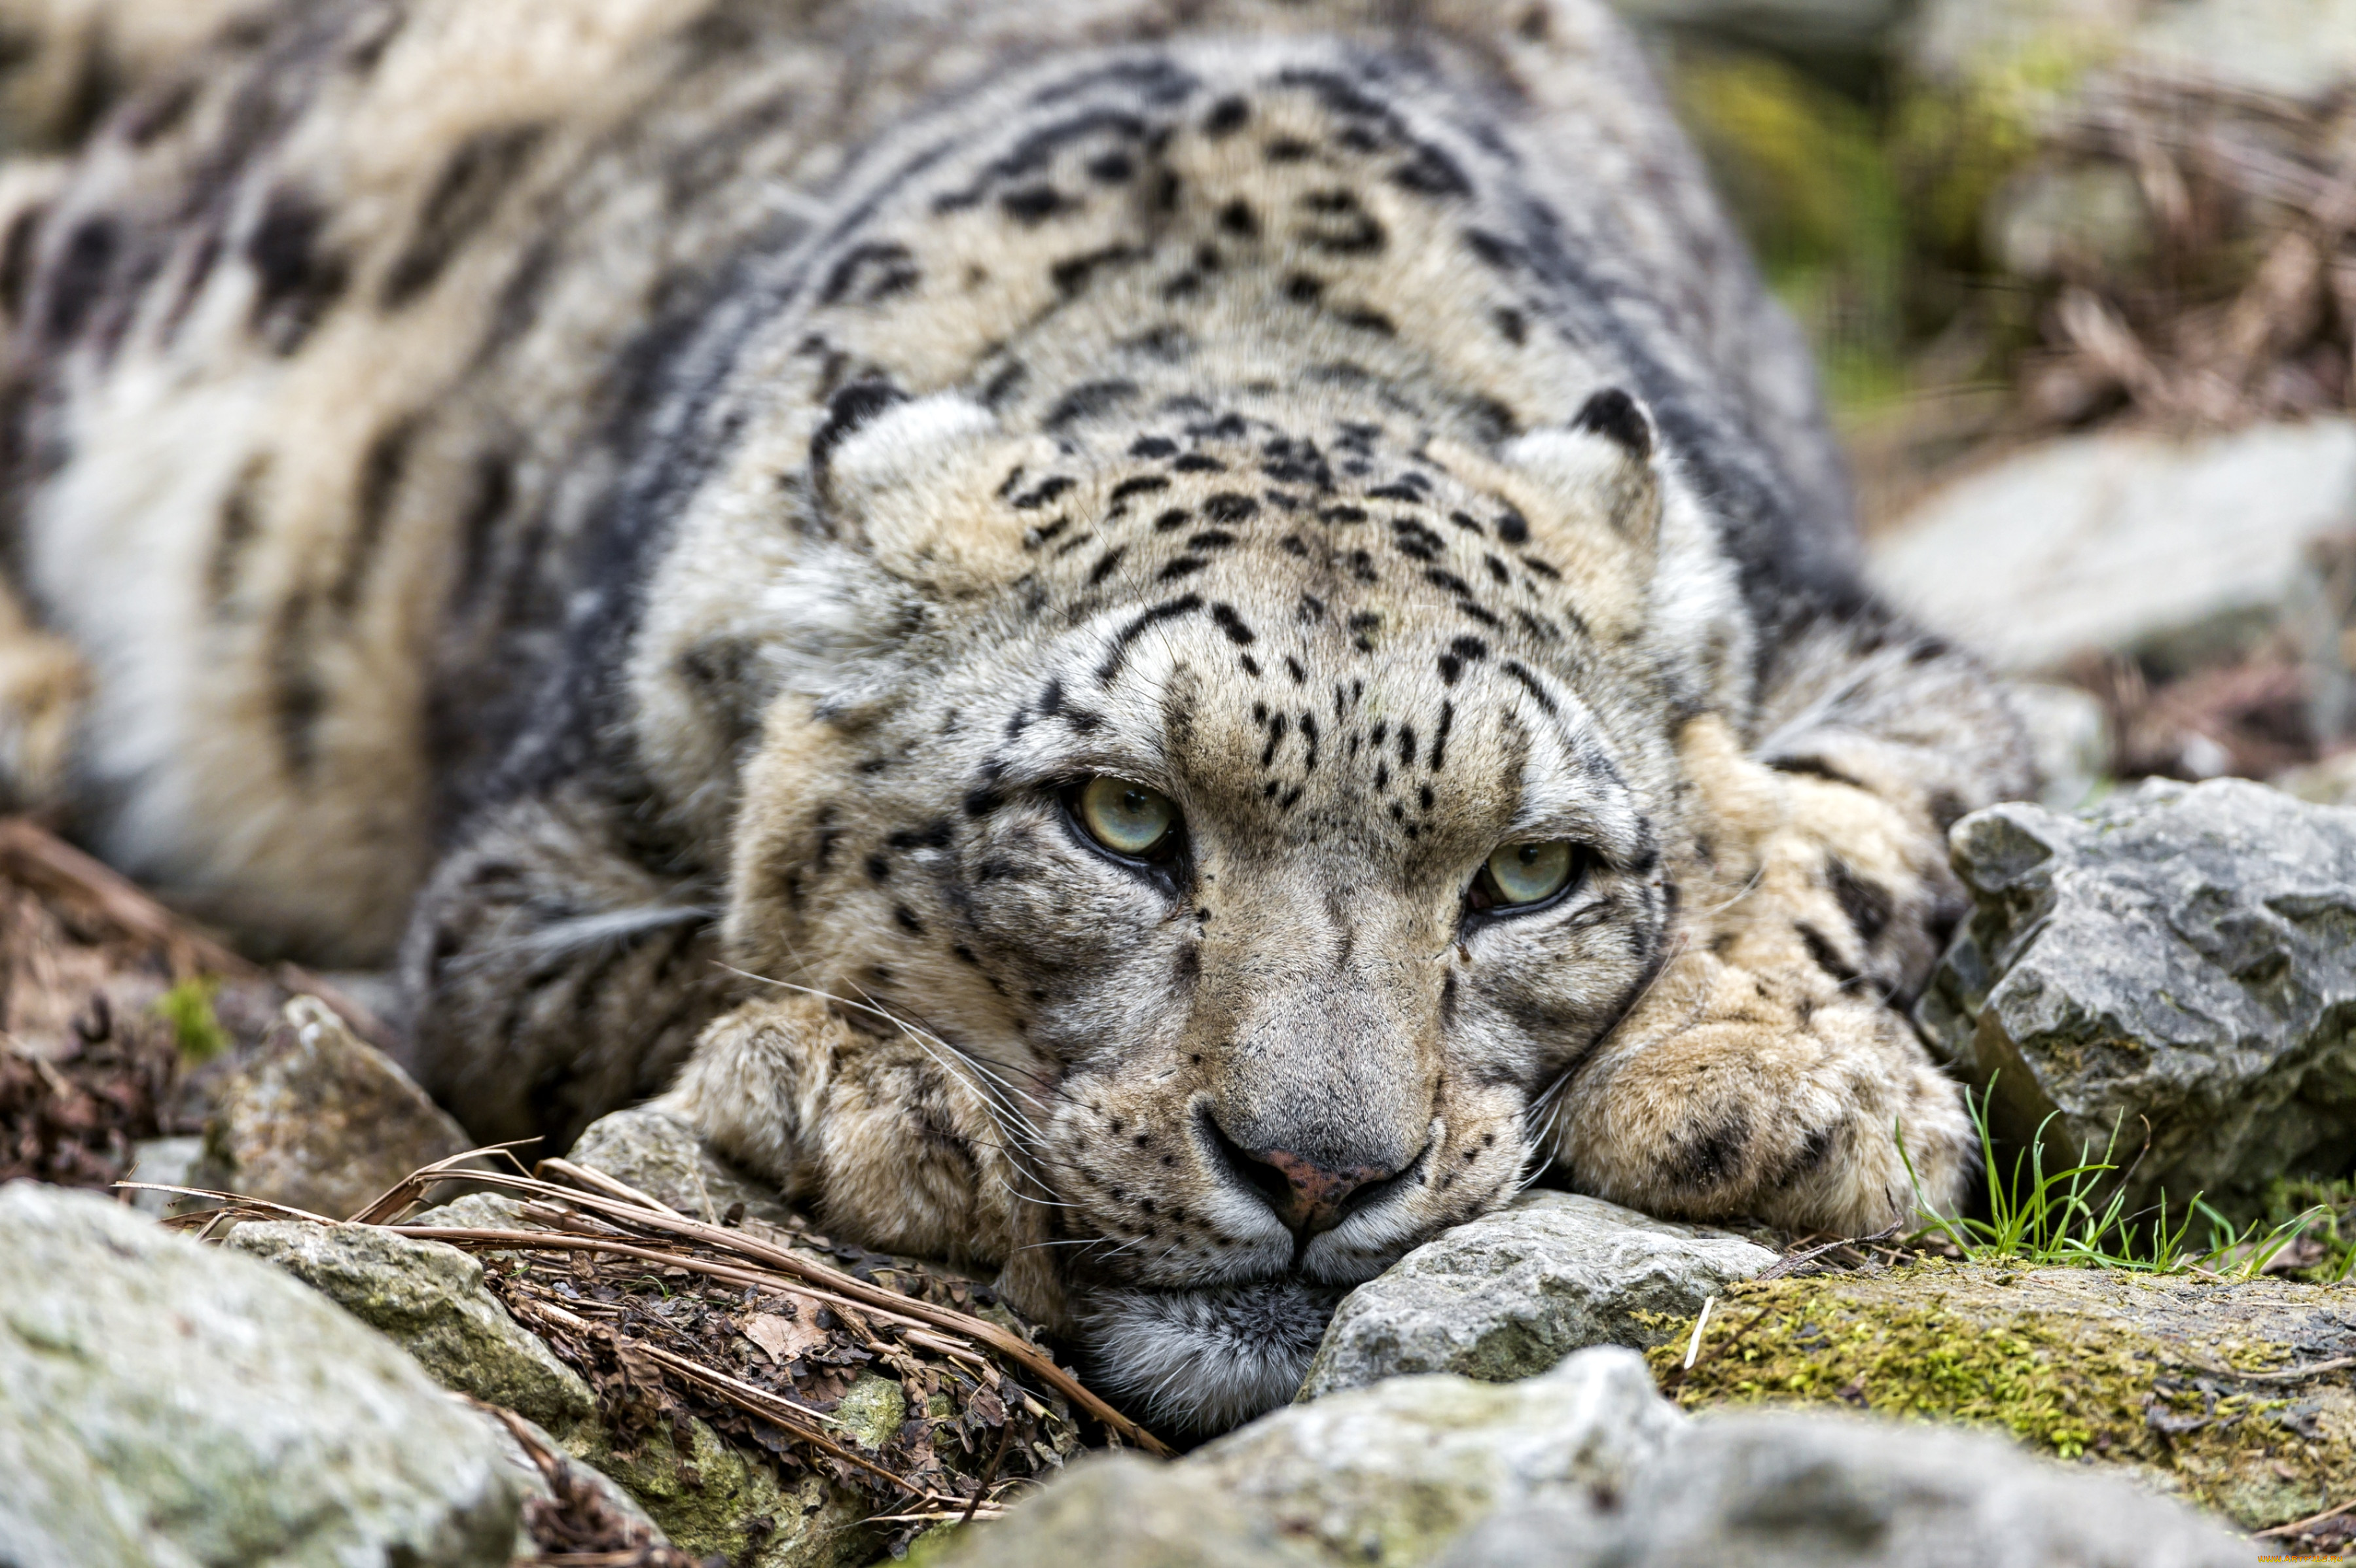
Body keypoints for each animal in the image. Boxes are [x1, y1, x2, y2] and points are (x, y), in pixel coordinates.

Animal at [0, 0, 2026, 1431]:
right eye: (1118, 818)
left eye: (1530, 872)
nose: (1317, 1167)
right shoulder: (529, 883)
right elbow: (685, 961)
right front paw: (876, 1091)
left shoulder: (1889, 667)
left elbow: (1833, 825)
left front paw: (1764, 1089)